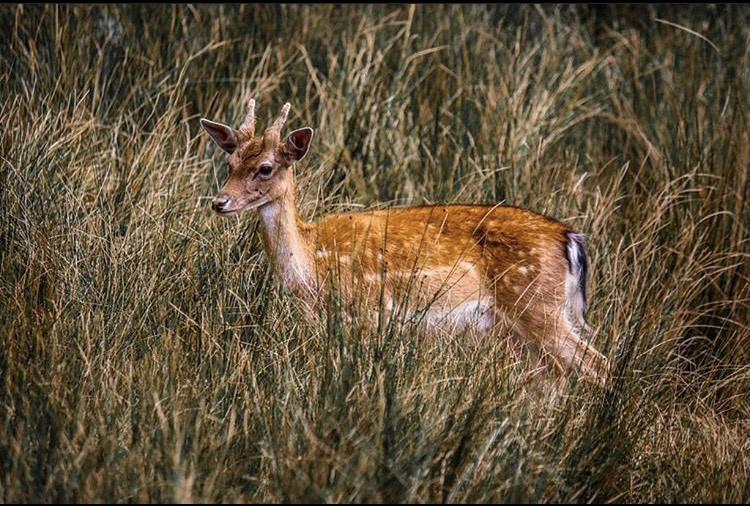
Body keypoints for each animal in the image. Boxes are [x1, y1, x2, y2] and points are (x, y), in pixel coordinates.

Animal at [200, 101, 612, 386]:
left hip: (538, 307)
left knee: (599, 366)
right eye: (230, 162)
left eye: (265, 168)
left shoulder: (366, 312)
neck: (313, 266)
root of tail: (570, 237)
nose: (219, 202)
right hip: (523, 327)